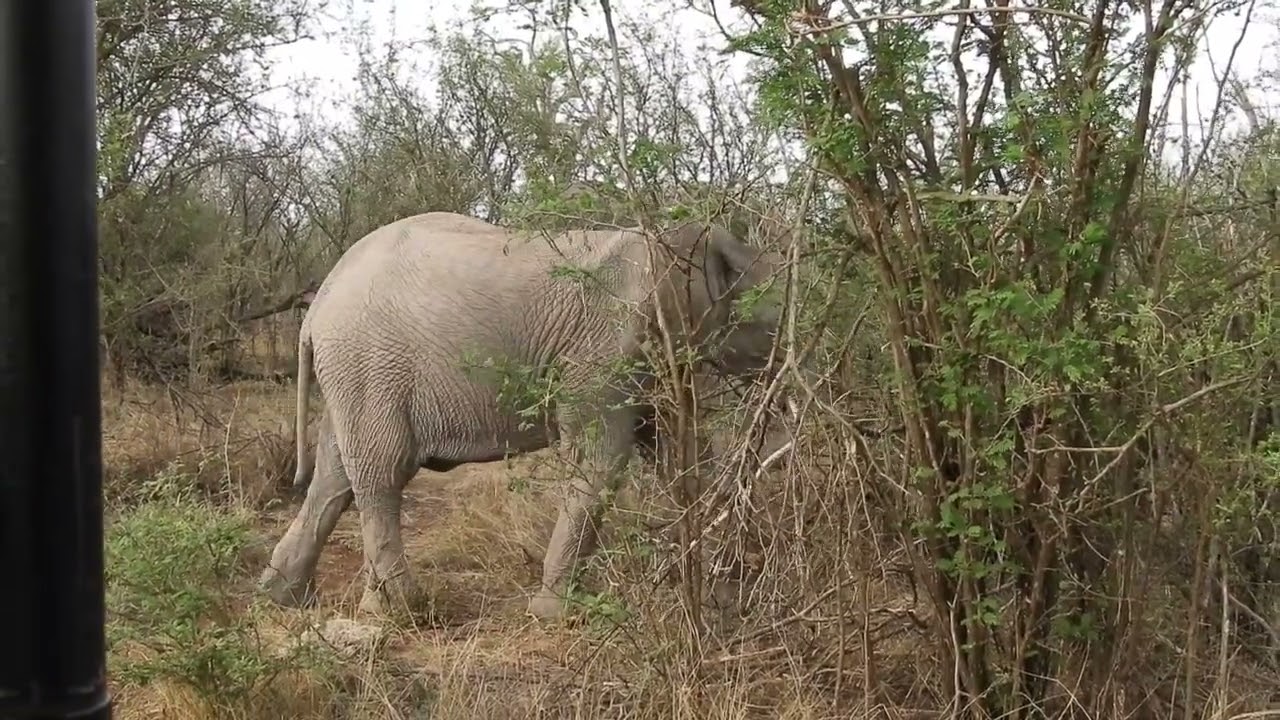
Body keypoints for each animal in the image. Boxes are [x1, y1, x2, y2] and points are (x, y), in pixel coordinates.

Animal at [257, 211, 794, 620]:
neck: (674, 240)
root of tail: (317, 304)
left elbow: (680, 457)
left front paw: (722, 598)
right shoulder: (608, 346)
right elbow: (601, 461)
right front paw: (557, 614)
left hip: (351, 373)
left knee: (334, 476)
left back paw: (284, 598)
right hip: (370, 364)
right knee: (381, 471)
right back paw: (403, 611)